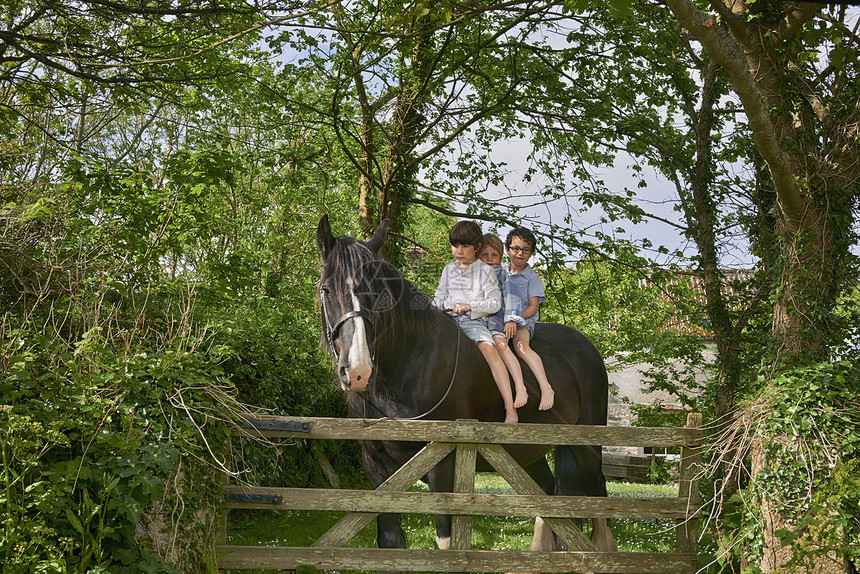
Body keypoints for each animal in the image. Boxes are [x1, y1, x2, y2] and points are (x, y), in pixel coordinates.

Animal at [320, 216, 616, 560]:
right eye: (326, 289)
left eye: (376, 293)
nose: (357, 370)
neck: (408, 364)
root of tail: (589, 349)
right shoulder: (376, 466)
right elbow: (390, 540)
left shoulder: (443, 463)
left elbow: (445, 540)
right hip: (528, 453)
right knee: (548, 499)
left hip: (587, 447)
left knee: (600, 505)